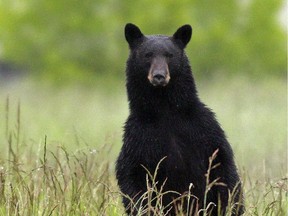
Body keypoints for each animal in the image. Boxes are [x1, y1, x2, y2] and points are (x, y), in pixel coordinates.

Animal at [116, 24, 244, 216]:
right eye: (148, 55)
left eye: (169, 55)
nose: (159, 76)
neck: (165, 110)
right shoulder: (138, 136)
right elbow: (131, 175)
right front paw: (144, 208)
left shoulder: (204, 129)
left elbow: (224, 169)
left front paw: (229, 207)